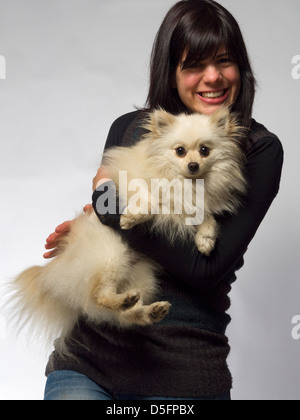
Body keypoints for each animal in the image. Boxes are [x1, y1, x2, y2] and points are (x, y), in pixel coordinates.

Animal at [10, 107, 247, 348]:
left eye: (204, 150)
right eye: (180, 151)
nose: (193, 165)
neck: (186, 183)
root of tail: (52, 271)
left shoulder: (197, 205)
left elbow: (207, 217)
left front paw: (206, 239)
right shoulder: (130, 181)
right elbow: (151, 200)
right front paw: (132, 217)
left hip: (142, 276)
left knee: (123, 313)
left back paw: (147, 310)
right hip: (110, 256)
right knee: (99, 296)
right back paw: (123, 300)